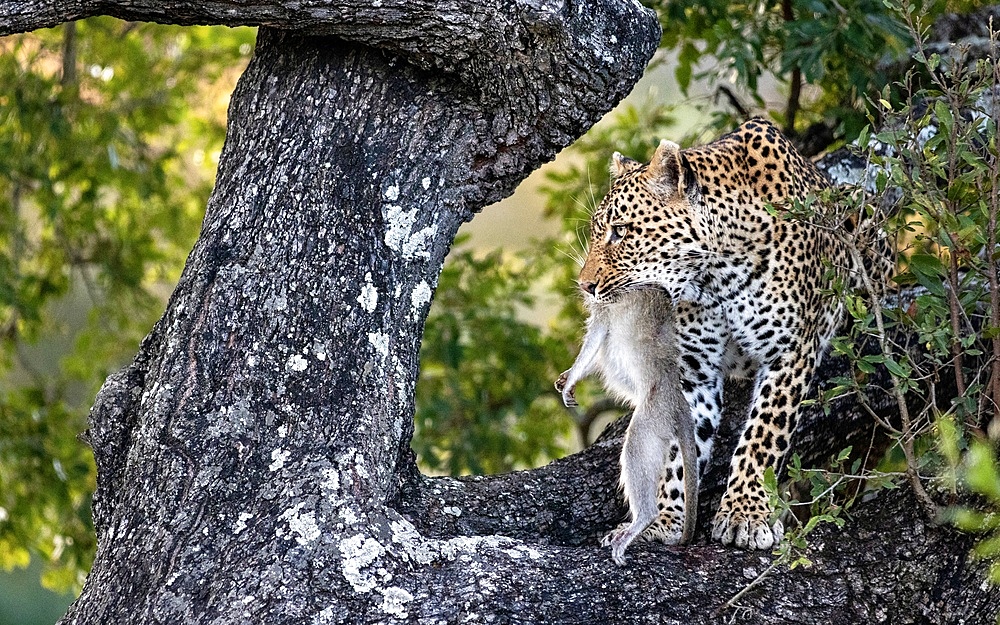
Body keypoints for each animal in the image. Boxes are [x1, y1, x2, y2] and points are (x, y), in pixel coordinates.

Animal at [556, 290, 696, 564]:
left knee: (636, 447)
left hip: (655, 415)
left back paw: (642, 519)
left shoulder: (606, 307)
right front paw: (567, 378)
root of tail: (678, 401)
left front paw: (571, 378)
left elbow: (595, 337)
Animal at [572, 116, 892, 552]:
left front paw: (745, 513)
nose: (585, 285)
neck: (717, 275)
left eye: (620, 232)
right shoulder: (693, 375)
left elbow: (763, 434)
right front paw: (666, 516)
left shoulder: (789, 353)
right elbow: (679, 451)